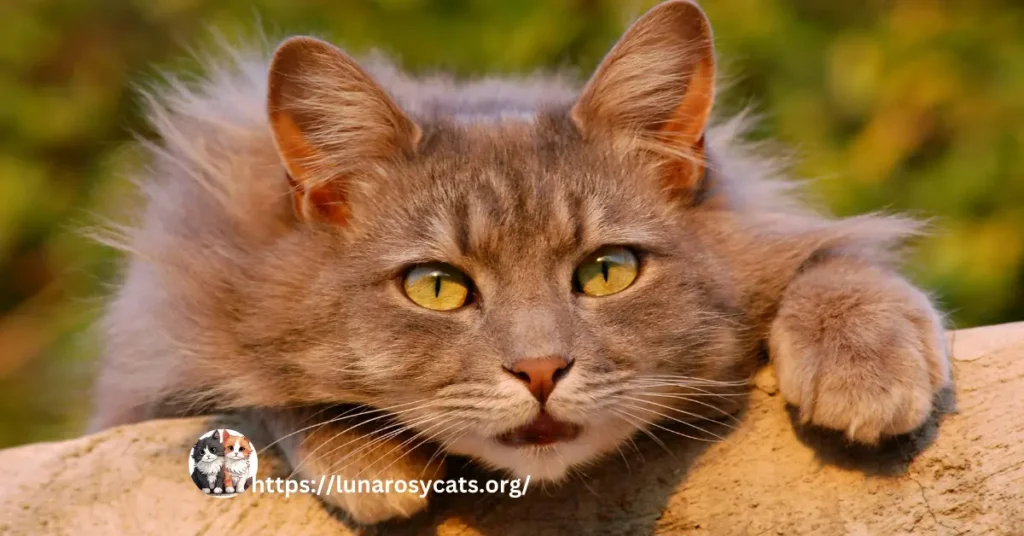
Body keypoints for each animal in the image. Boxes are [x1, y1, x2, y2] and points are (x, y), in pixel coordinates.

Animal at [88, 0, 950, 524]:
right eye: (436, 288)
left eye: (607, 271)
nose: (540, 371)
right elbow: (257, 384)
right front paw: (367, 461)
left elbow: (837, 261)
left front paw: (865, 364)